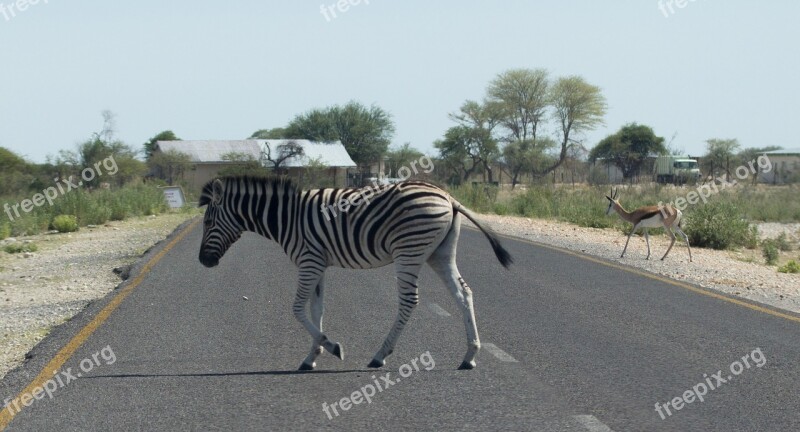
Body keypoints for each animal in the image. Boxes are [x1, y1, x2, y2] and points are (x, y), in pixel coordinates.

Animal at [199, 177, 512, 370]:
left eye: (208, 222)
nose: (203, 261)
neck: (287, 218)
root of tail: (448, 197)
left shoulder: (309, 261)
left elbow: (298, 308)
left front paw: (332, 347)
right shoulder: (318, 264)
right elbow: (317, 309)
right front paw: (312, 356)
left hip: (409, 251)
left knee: (410, 301)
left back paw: (380, 355)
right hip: (441, 253)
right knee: (464, 294)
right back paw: (470, 355)